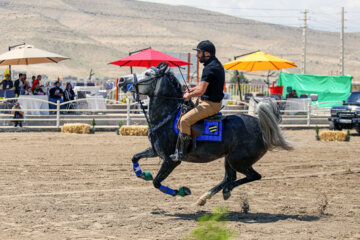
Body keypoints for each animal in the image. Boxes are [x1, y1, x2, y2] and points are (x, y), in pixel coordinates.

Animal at [118, 62, 292, 205]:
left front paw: (181, 191)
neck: (168, 116)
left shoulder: (171, 160)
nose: (121, 80)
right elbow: (135, 157)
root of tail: (261, 126)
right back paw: (206, 197)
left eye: (148, 74)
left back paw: (225, 191)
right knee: (230, 177)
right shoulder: (156, 151)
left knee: (253, 176)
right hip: (229, 159)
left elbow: (156, 182)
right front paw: (142, 174)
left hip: (238, 161)